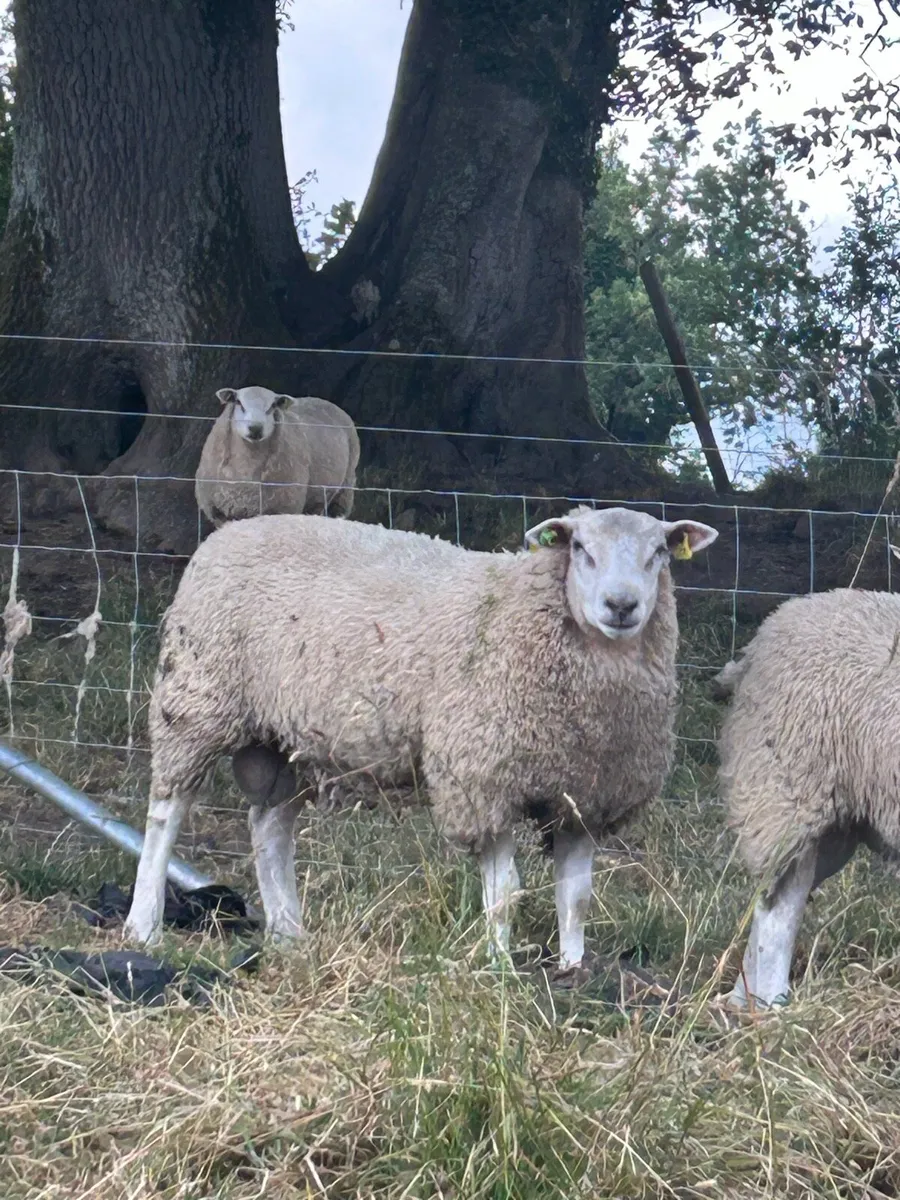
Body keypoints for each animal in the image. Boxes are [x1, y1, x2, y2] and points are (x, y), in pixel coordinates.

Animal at [123, 506, 719, 963]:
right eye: (580, 549)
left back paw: (289, 935)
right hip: (197, 699)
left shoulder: (585, 796)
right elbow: (505, 893)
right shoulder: (480, 777)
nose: (622, 605)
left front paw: (573, 970)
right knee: (165, 814)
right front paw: (499, 968)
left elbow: (576, 897)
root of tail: (228, 531)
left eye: (659, 553)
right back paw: (143, 926)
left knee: (269, 828)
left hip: (285, 736)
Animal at [194, 386, 360, 527]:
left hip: (343, 491)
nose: (255, 428)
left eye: (272, 406)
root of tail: (321, 400)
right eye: (239, 403)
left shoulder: (283, 508)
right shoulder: (219, 513)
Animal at [717, 587, 900, 1009]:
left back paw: (742, 999)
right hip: (788, 794)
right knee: (778, 909)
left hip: (837, 825)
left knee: (773, 899)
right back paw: (771, 1004)